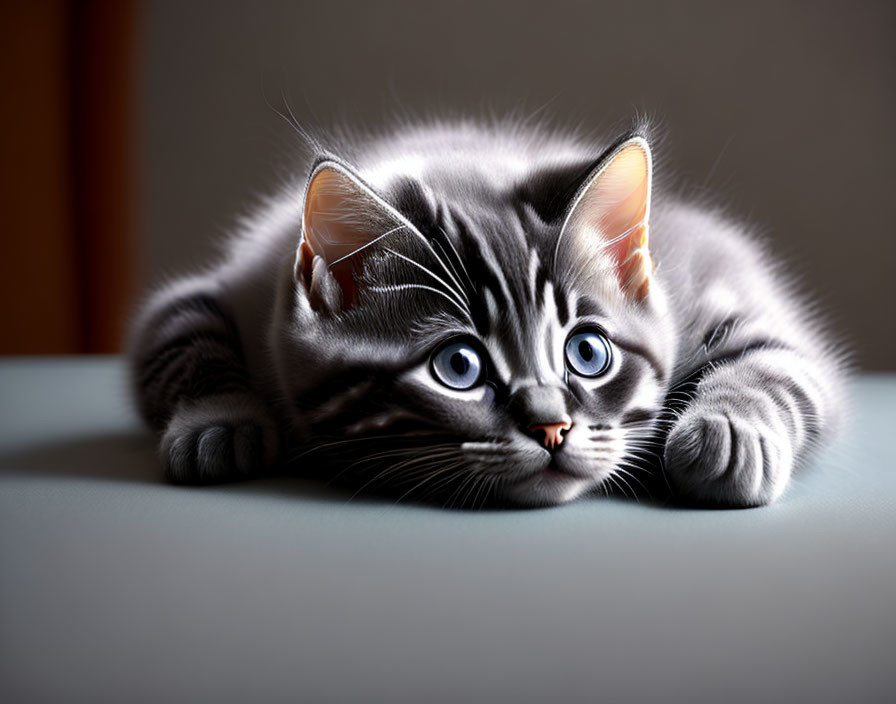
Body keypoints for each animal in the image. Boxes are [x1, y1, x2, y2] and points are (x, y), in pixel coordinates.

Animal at [128, 119, 848, 506]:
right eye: (459, 366)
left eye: (587, 353)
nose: (554, 428)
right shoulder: (230, 290)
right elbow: (184, 345)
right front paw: (219, 423)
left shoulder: (707, 288)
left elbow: (781, 365)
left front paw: (726, 435)